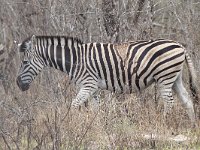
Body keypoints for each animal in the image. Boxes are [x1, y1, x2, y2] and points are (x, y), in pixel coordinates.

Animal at [16, 34, 198, 123]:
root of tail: (180, 45)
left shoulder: (88, 84)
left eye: (25, 62)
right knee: (187, 100)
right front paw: (96, 128)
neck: (75, 60)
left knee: (169, 103)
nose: (18, 84)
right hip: (174, 78)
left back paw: (164, 123)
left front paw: (71, 125)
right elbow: (95, 110)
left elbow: (73, 105)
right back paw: (192, 126)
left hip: (164, 78)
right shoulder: (94, 88)